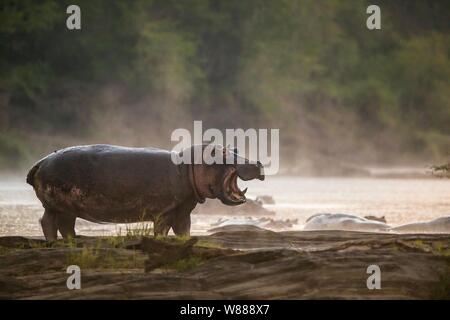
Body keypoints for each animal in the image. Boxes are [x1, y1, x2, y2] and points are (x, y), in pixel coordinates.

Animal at [25, 145, 264, 240]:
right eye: (222, 152)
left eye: (234, 148)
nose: (258, 162)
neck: (188, 166)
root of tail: (40, 162)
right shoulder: (165, 211)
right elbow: (161, 231)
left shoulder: (182, 210)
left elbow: (184, 230)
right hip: (60, 205)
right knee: (49, 222)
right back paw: (57, 242)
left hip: (64, 207)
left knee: (61, 225)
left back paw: (74, 239)